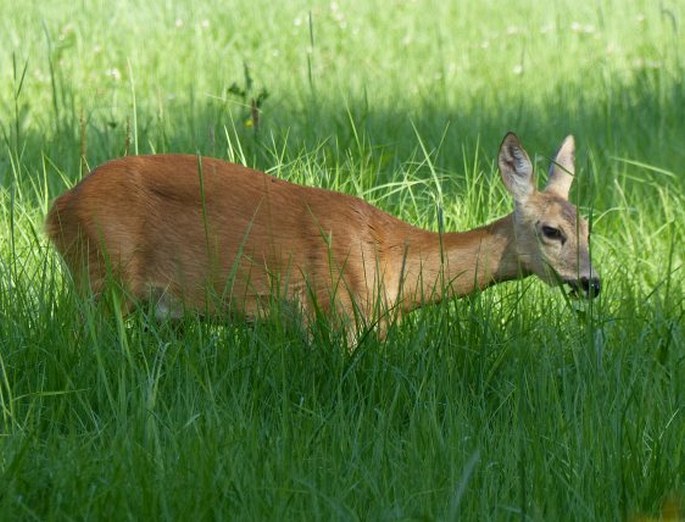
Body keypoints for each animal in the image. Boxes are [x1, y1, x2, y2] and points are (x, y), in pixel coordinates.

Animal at [45, 133, 600, 338]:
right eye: (551, 230)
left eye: (589, 226)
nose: (592, 281)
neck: (392, 264)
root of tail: (58, 208)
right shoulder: (341, 313)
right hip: (102, 277)